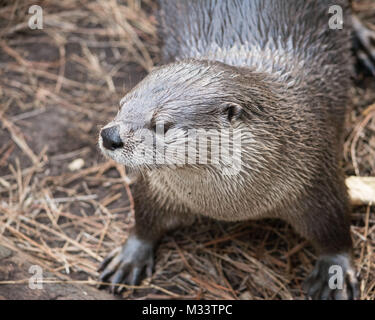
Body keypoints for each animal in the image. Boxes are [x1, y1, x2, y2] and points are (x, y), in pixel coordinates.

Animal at [97, 0, 362, 300]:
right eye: (121, 105)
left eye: (162, 124)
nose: (110, 135)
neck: (232, 207)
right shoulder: (157, 188)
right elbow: (144, 217)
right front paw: (129, 257)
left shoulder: (318, 176)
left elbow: (335, 227)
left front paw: (335, 272)